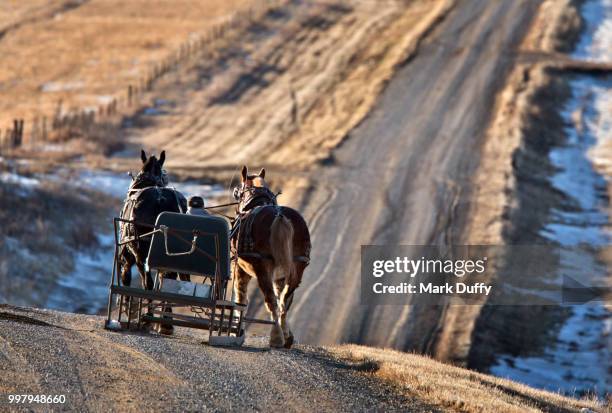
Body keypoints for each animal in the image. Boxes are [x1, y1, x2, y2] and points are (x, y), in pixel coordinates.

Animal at [118, 150, 188, 334]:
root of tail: (160, 199)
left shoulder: (129, 256)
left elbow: (127, 278)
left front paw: (127, 309)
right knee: (168, 282)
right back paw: (166, 323)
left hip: (141, 254)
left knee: (147, 284)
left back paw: (149, 319)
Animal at [231, 164, 310, 348]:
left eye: (238, 191)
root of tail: (280, 216)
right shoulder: (280, 276)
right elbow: (281, 297)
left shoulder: (240, 268)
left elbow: (241, 298)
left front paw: (236, 330)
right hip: (297, 268)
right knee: (284, 301)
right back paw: (285, 336)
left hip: (262, 270)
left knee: (271, 301)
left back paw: (276, 337)